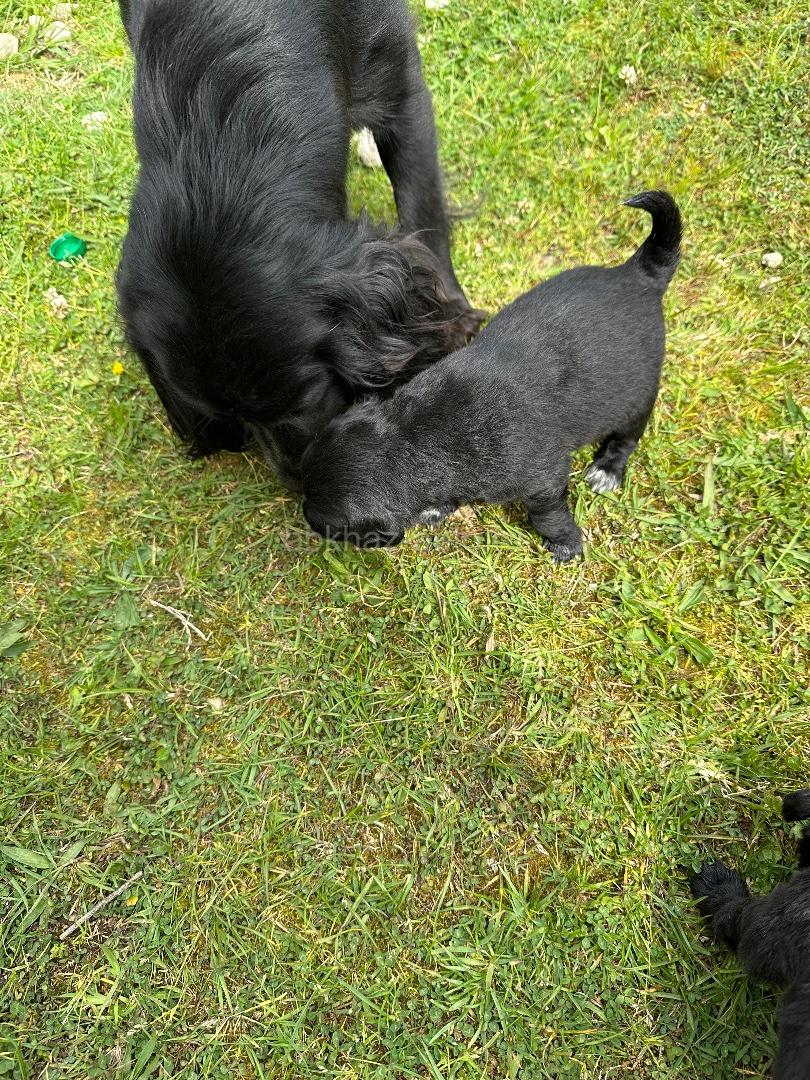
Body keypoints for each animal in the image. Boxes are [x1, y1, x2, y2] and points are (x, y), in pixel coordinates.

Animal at [116, 0, 483, 490]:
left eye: (305, 400)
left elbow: (423, 206)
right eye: (233, 415)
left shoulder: (398, 80)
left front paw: (455, 323)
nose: (301, 483)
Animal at [301, 190, 681, 556]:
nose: (301, 510)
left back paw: (608, 470)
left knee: (627, 437)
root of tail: (638, 274)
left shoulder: (544, 481)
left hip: (638, 395)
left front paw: (565, 543)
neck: (411, 435)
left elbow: (547, 513)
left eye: (327, 527)